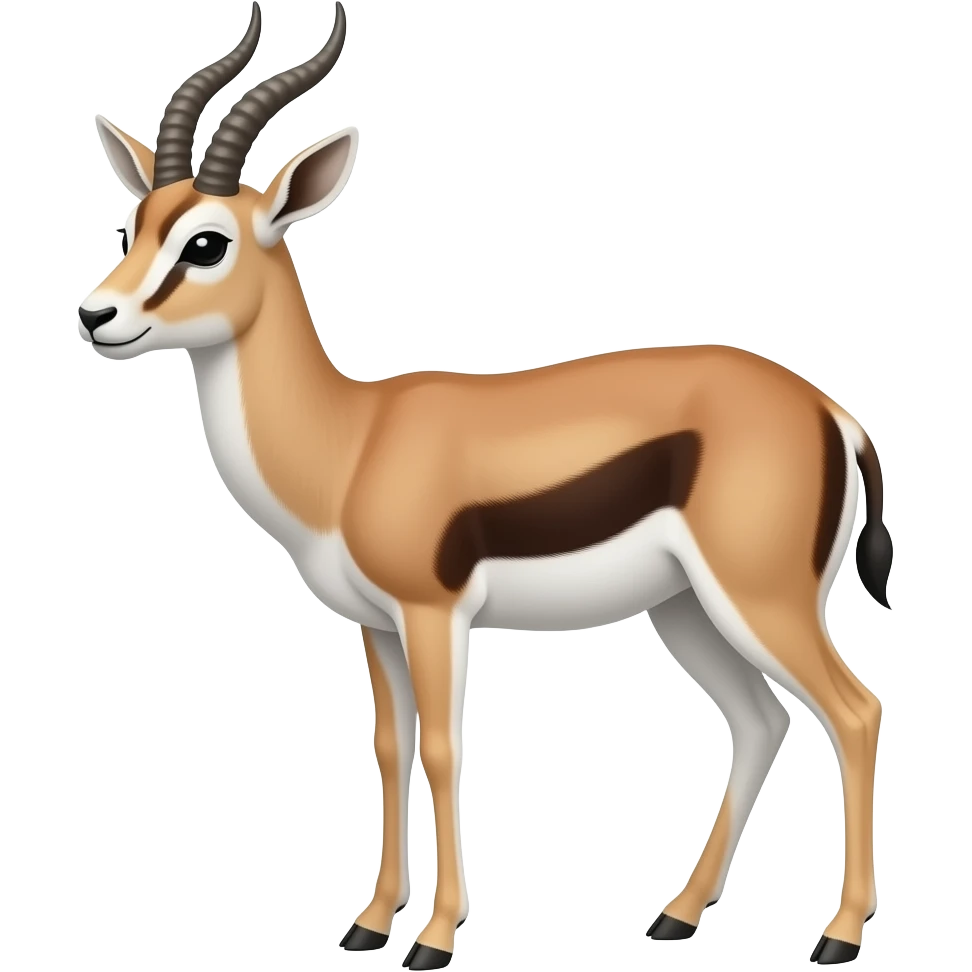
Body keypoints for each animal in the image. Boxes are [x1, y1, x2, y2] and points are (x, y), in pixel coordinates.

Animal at [78, 2, 892, 968]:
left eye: (206, 241)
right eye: (134, 223)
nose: (96, 314)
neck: (351, 441)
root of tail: (832, 412)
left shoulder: (434, 614)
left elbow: (441, 747)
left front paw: (433, 938)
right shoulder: (375, 625)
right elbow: (389, 749)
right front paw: (367, 923)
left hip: (763, 596)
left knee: (855, 711)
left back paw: (838, 935)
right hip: (687, 609)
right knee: (761, 721)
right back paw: (676, 916)